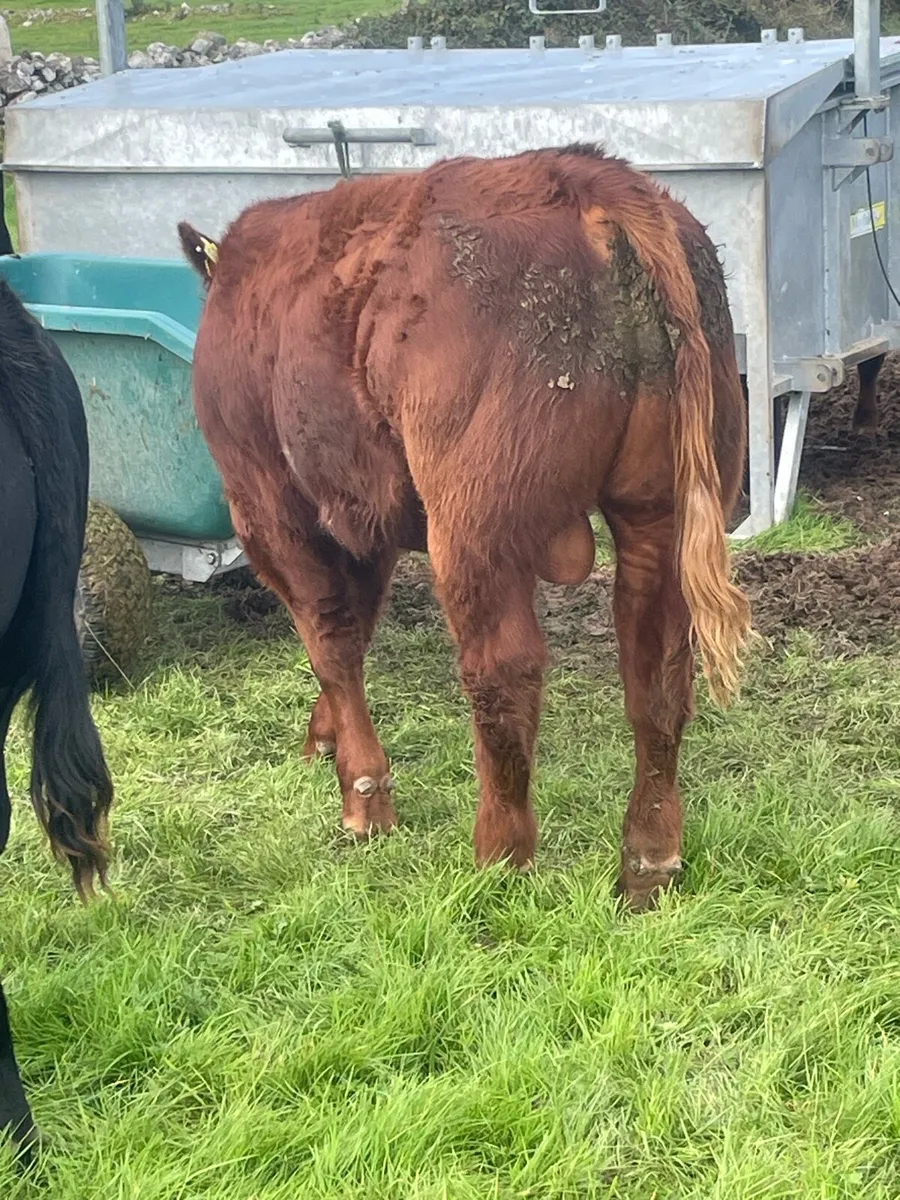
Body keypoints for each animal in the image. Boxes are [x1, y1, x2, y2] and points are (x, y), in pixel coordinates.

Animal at [179, 145, 752, 910]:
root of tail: (594, 179)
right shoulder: (366, 516)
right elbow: (354, 626)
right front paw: (323, 737)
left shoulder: (269, 502)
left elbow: (329, 638)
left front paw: (364, 799)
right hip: (658, 511)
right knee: (655, 673)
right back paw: (648, 860)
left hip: (472, 530)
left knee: (501, 668)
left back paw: (499, 859)